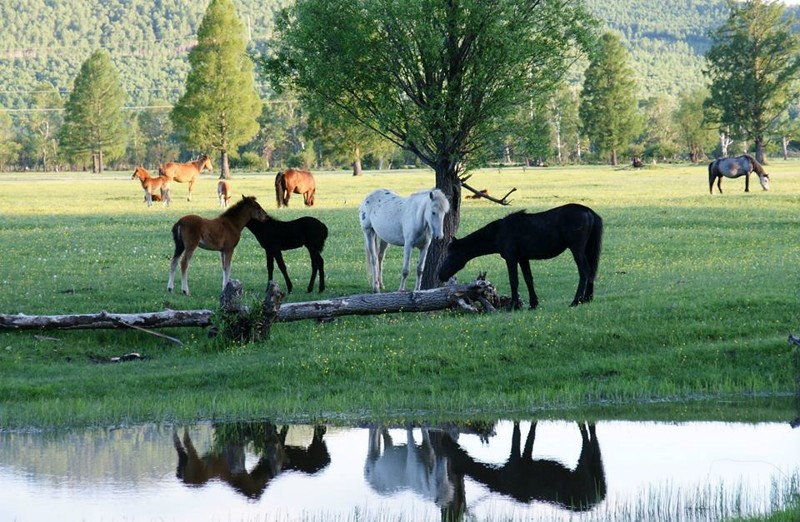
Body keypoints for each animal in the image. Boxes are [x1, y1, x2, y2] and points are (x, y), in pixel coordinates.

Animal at [440, 202, 604, 308]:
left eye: (452, 254)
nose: (440, 275)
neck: (500, 232)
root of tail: (589, 211)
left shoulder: (511, 259)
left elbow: (514, 281)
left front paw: (514, 305)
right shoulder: (523, 259)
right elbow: (528, 279)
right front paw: (533, 304)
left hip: (577, 248)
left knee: (585, 271)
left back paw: (576, 301)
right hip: (587, 248)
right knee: (591, 271)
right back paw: (587, 299)